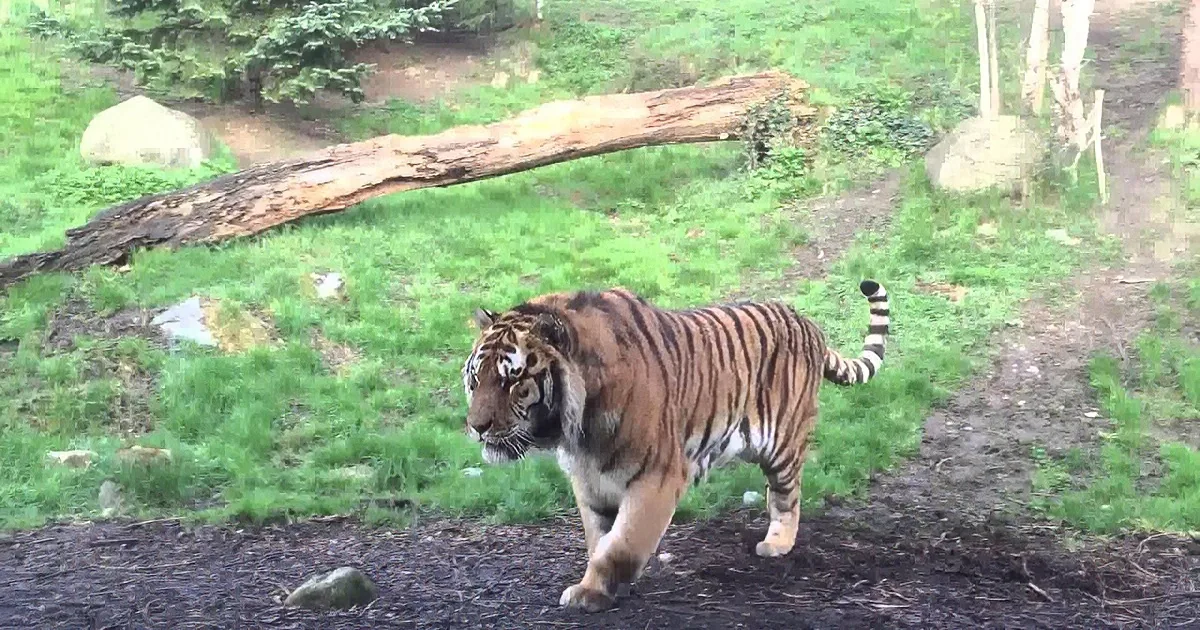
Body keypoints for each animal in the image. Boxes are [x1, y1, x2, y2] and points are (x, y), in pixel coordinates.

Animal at [460, 279, 890, 612]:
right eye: (476, 378)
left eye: (513, 380)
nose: (476, 427)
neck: (576, 427)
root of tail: (808, 322)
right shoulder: (589, 481)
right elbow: (601, 539)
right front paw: (598, 587)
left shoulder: (659, 476)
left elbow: (623, 542)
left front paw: (594, 590)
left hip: (781, 443)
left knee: (788, 496)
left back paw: (777, 544)